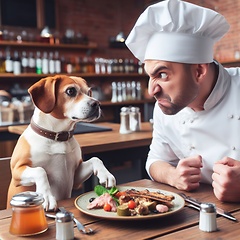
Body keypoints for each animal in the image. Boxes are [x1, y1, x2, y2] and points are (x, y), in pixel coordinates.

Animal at [7, 75, 116, 210]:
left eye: (89, 91)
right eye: (71, 91)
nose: (97, 103)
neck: (57, 137)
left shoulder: (75, 178)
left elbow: (95, 159)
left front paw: (106, 174)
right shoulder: (17, 172)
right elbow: (40, 170)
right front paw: (47, 197)